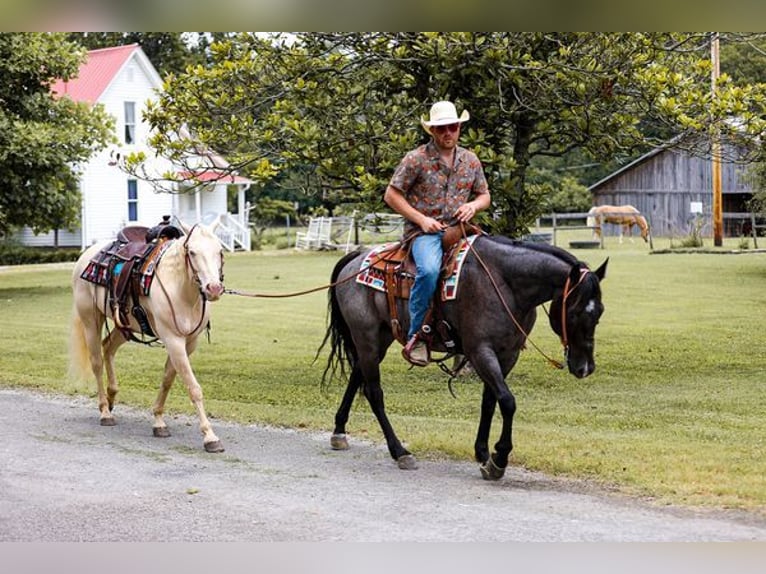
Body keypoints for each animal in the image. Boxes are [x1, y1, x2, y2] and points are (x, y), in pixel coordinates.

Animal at [70, 225, 226, 454]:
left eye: (219, 251)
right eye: (192, 252)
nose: (213, 288)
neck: (181, 289)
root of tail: (86, 255)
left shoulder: (189, 343)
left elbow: (168, 379)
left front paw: (158, 421)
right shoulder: (173, 340)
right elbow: (193, 388)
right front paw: (210, 436)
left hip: (125, 325)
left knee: (108, 347)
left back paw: (111, 396)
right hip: (91, 320)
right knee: (97, 362)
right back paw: (105, 411)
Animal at [318, 235, 608, 482]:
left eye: (600, 312)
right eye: (574, 313)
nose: (585, 368)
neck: (505, 283)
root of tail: (356, 258)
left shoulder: (507, 355)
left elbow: (490, 401)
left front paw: (483, 453)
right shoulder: (480, 351)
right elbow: (507, 401)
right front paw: (499, 459)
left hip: (381, 337)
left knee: (357, 376)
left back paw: (339, 431)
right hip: (366, 337)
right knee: (374, 392)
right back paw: (400, 451)